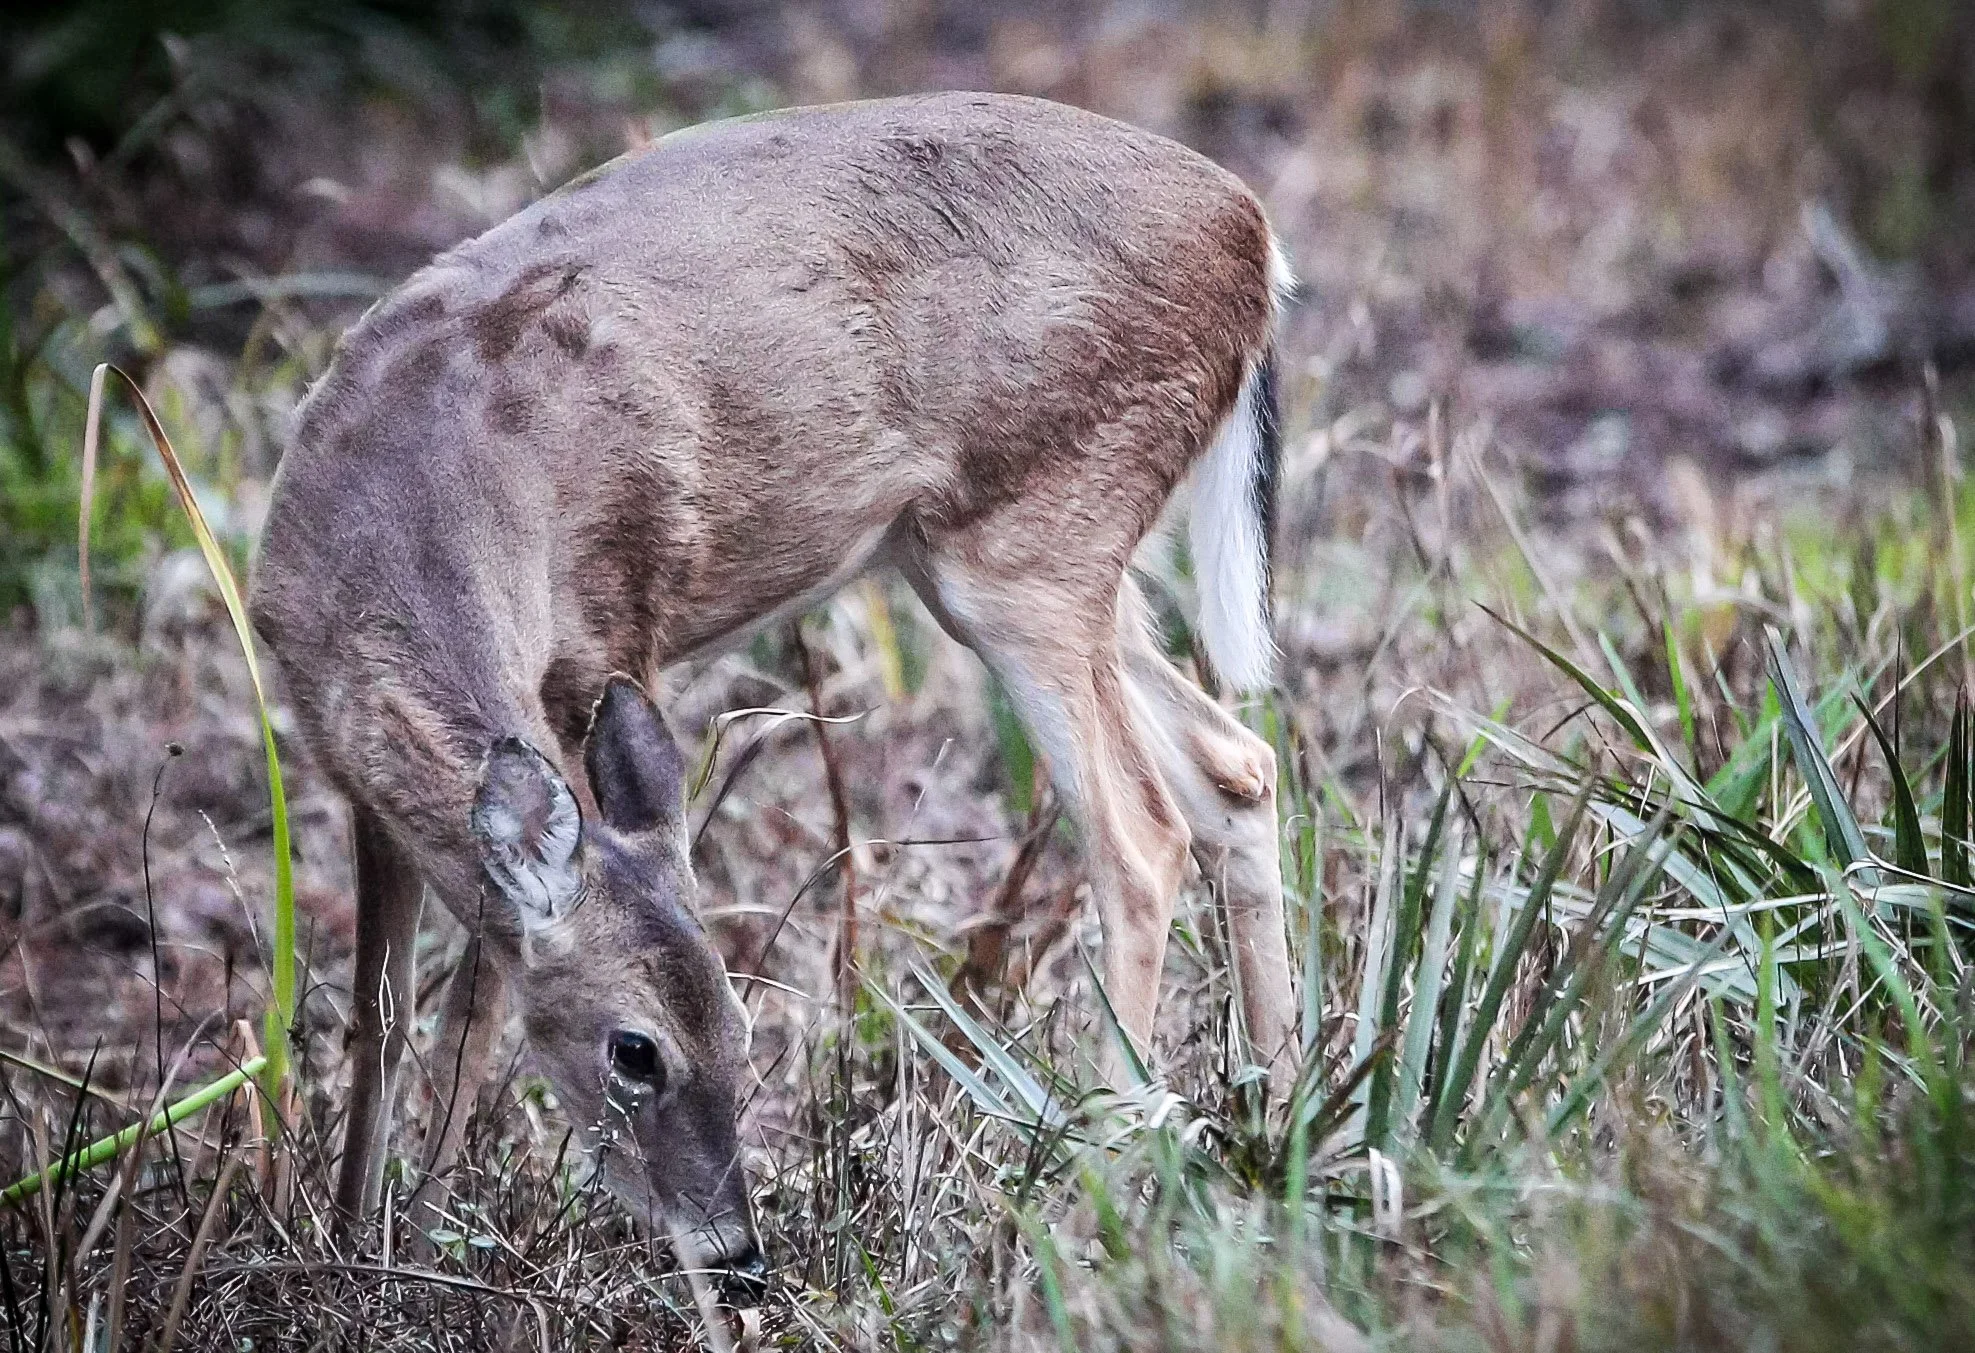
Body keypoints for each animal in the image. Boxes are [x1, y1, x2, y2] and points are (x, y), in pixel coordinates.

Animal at [247, 91, 1299, 1296]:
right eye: (639, 1050)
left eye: (740, 1036)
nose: (738, 1258)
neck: (406, 513)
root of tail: (1252, 235)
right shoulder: (353, 774)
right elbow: (375, 1017)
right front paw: (345, 1244)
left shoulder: (610, 638)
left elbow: (473, 1004)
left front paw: (412, 1254)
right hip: (997, 556)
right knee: (1237, 764)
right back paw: (1283, 1125)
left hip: (1032, 540)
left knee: (1141, 836)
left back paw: (1085, 1201)